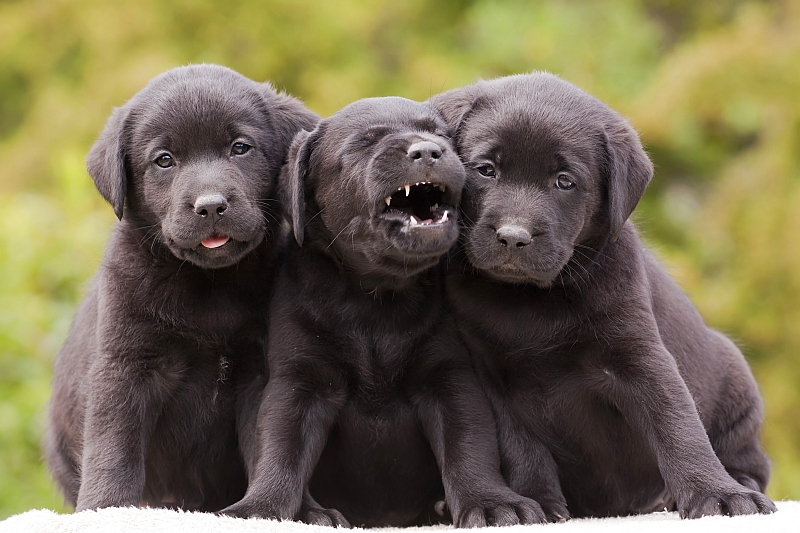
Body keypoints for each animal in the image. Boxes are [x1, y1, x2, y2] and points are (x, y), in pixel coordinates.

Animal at [45, 63, 318, 512]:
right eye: (164, 160)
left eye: (240, 148)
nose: (210, 205)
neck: (208, 285)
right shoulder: (125, 364)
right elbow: (113, 445)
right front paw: (104, 506)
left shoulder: (261, 372)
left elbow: (271, 445)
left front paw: (303, 510)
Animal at [219, 96, 544, 528]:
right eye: (365, 143)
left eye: (439, 134)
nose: (428, 151)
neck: (375, 299)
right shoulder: (299, 379)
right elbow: (280, 449)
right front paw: (261, 508)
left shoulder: (449, 377)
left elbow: (469, 447)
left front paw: (491, 502)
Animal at [428, 75, 780, 520]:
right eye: (486, 170)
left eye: (564, 181)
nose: (513, 236)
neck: (533, 300)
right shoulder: (494, 378)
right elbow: (523, 450)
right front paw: (540, 504)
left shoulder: (639, 355)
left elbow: (678, 428)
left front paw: (716, 493)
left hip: (737, 386)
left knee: (749, 462)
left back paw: (722, 487)